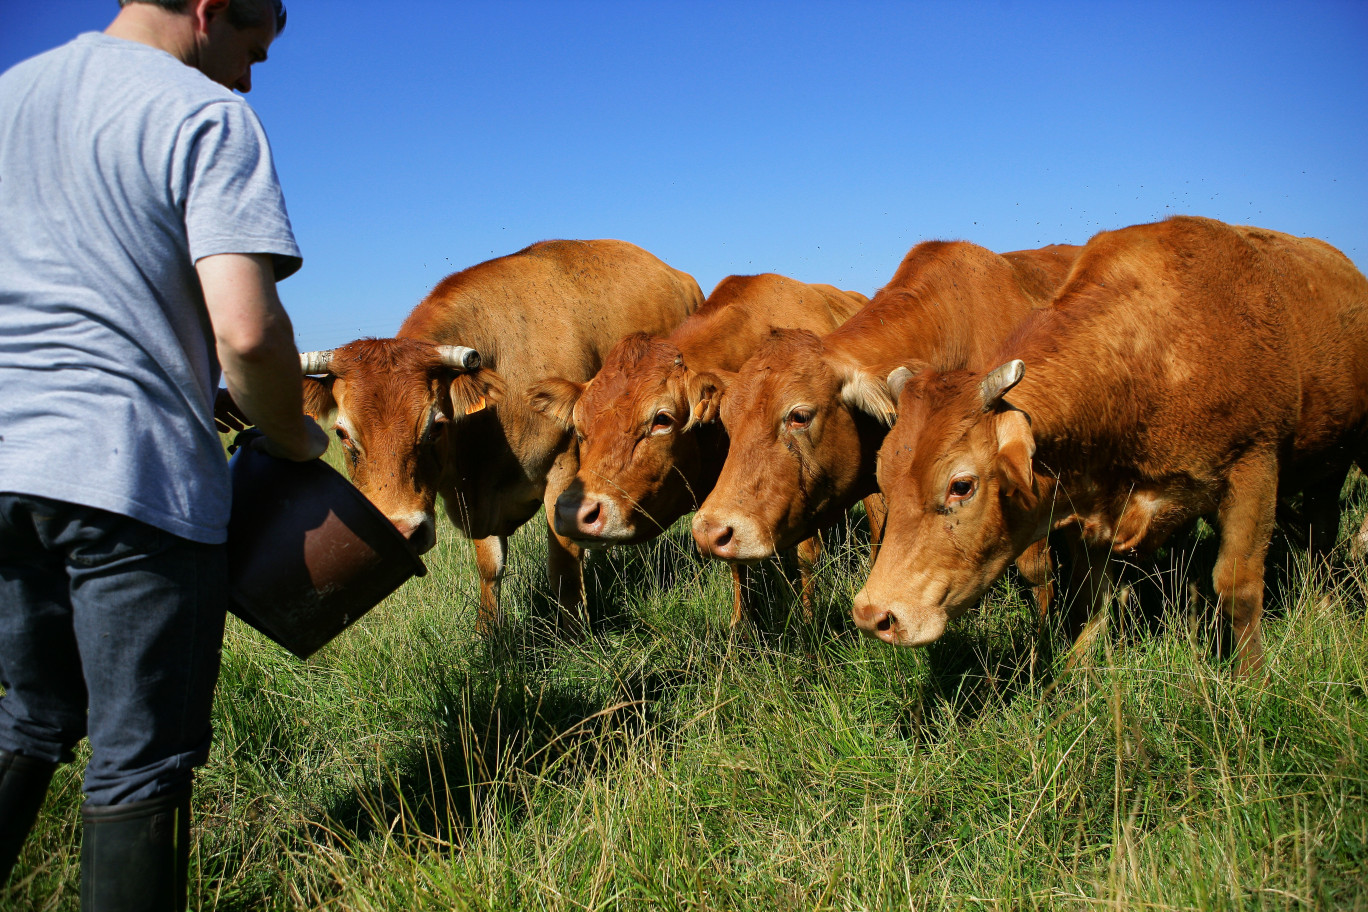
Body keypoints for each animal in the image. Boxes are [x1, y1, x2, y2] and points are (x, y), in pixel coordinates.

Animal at [300, 237, 705, 634]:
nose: (403, 531)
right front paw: (489, 631)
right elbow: (490, 567)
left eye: (436, 425)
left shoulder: (563, 471)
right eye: (342, 433)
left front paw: (574, 630)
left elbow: (562, 563)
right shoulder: (475, 502)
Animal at [522, 273, 864, 628]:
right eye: (579, 428)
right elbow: (736, 563)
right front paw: (741, 628)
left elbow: (806, 558)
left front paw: (809, 620)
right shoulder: (724, 507)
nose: (572, 513)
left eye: (662, 419)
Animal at [853, 211, 1368, 669]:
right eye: (884, 478)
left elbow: (1237, 589)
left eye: (961, 486)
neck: (1154, 354)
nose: (874, 614)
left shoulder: (1254, 469)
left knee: (1323, 532)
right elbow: (1093, 597)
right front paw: (1075, 673)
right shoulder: (1092, 512)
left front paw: (1250, 683)